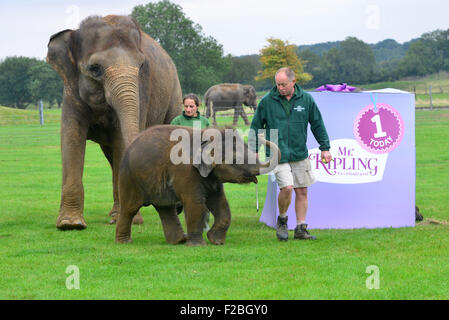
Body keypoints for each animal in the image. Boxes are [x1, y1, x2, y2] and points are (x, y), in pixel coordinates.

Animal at [46, 15, 182, 230]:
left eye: (142, 66)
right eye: (95, 68)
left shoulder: (142, 90)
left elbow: (120, 140)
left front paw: (128, 220)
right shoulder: (70, 91)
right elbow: (71, 136)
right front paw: (70, 224)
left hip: (174, 93)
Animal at [114, 124, 278, 245]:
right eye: (235, 160)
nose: (262, 136)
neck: (206, 137)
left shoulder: (211, 176)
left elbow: (221, 203)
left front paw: (216, 241)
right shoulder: (185, 171)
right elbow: (196, 204)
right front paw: (198, 245)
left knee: (165, 208)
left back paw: (179, 241)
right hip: (129, 178)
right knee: (130, 208)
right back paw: (124, 242)